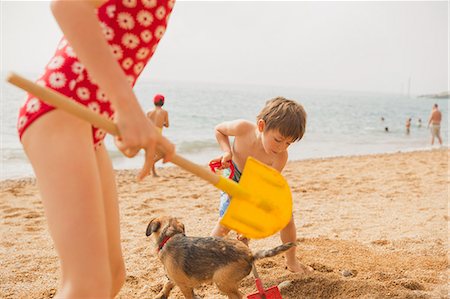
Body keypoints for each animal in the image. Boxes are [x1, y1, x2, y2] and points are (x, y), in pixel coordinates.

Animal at [146, 217, 298, 298]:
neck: (170, 237)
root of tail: (249, 254)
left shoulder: (183, 285)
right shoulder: (176, 279)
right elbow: (167, 284)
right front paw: (160, 295)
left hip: (221, 281)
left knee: (239, 296)